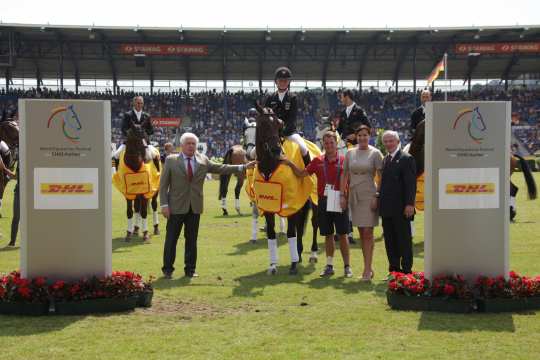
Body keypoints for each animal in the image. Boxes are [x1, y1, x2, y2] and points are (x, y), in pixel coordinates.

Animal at [255, 105, 314, 274]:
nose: (276, 150)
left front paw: (293, 265)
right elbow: (271, 233)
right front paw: (273, 265)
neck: (270, 165)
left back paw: (312, 254)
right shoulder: (268, 205)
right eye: (262, 124)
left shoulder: (291, 203)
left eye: (279, 124)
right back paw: (299, 254)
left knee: (314, 224)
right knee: (301, 226)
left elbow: (290, 232)